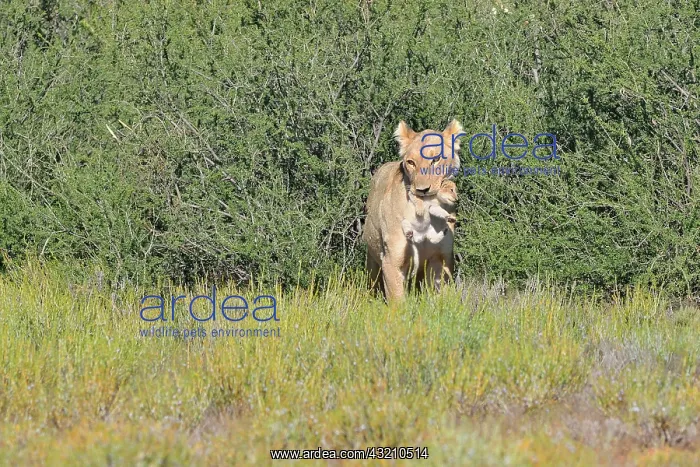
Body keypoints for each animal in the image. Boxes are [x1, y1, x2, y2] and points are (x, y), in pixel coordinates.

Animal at [362, 119, 463, 302]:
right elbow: (397, 301)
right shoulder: (392, 261)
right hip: (373, 265)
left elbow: (440, 299)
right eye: (411, 162)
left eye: (436, 159)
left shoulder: (441, 260)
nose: (422, 190)